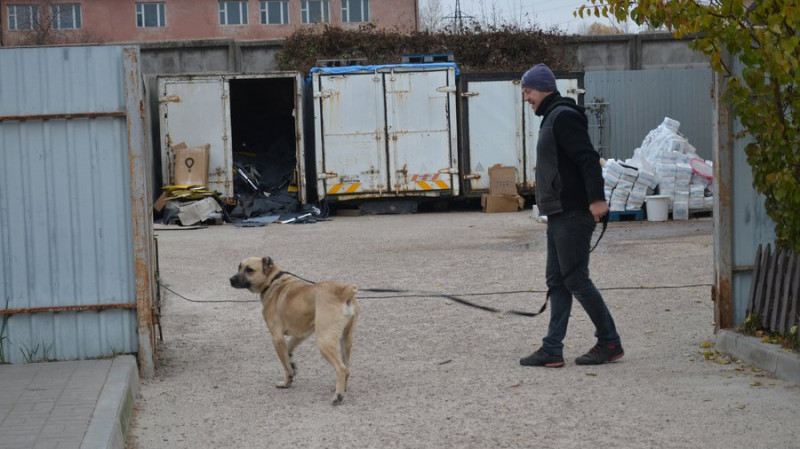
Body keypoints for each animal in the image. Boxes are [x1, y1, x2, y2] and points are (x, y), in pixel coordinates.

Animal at [228, 256, 360, 406]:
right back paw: (342, 388)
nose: (230, 279)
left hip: (324, 341)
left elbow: (285, 365)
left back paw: (338, 395)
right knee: (346, 368)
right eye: (239, 267)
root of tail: (343, 290)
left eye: (249, 270)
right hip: (346, 340)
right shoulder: (301, 334)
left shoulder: (277, 338)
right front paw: (292, 364)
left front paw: (287, 381)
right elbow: (289, 351)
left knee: (341, 368)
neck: (274, 281)